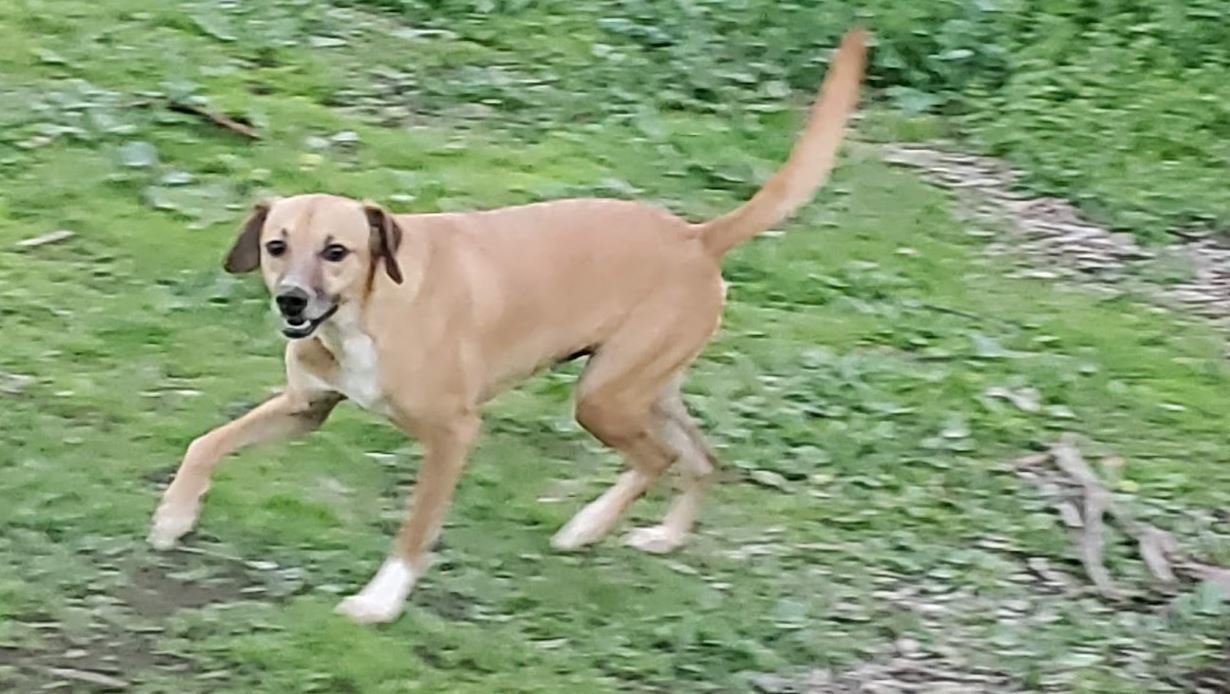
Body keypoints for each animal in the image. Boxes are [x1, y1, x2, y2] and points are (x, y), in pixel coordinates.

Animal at [151, 28, 865, 622]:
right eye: (276, 246)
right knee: (704, 459)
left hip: (602, 398)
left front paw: (380, 601)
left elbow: (414, 530)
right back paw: (663, 536)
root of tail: (696, 237)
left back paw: (585, 528)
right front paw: (173, 515)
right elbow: (205, 442)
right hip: (641, 390)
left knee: (659, 459)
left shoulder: (452, 436)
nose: (292, 302)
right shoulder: (305, 408)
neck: (366, 315)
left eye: (336, 251)